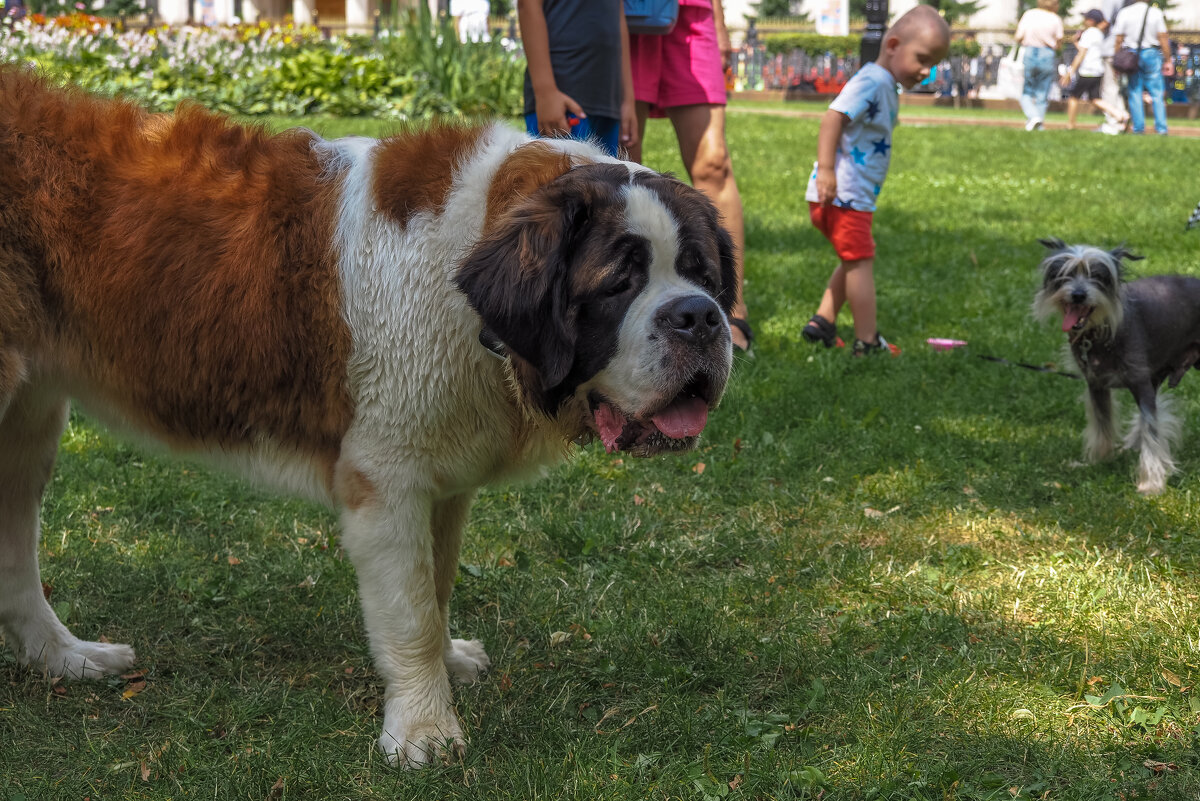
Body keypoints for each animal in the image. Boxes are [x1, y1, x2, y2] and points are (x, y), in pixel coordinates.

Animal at [0, 68, 729, 762]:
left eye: (705, 274)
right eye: (618, 283)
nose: (700, 318)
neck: (466, 269)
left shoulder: (443, 478)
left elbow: (436, 585)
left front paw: (445, 666)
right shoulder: (387, 479)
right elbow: (412, 611)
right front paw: (423, 729)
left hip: (28, 422)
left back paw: (66, 658)